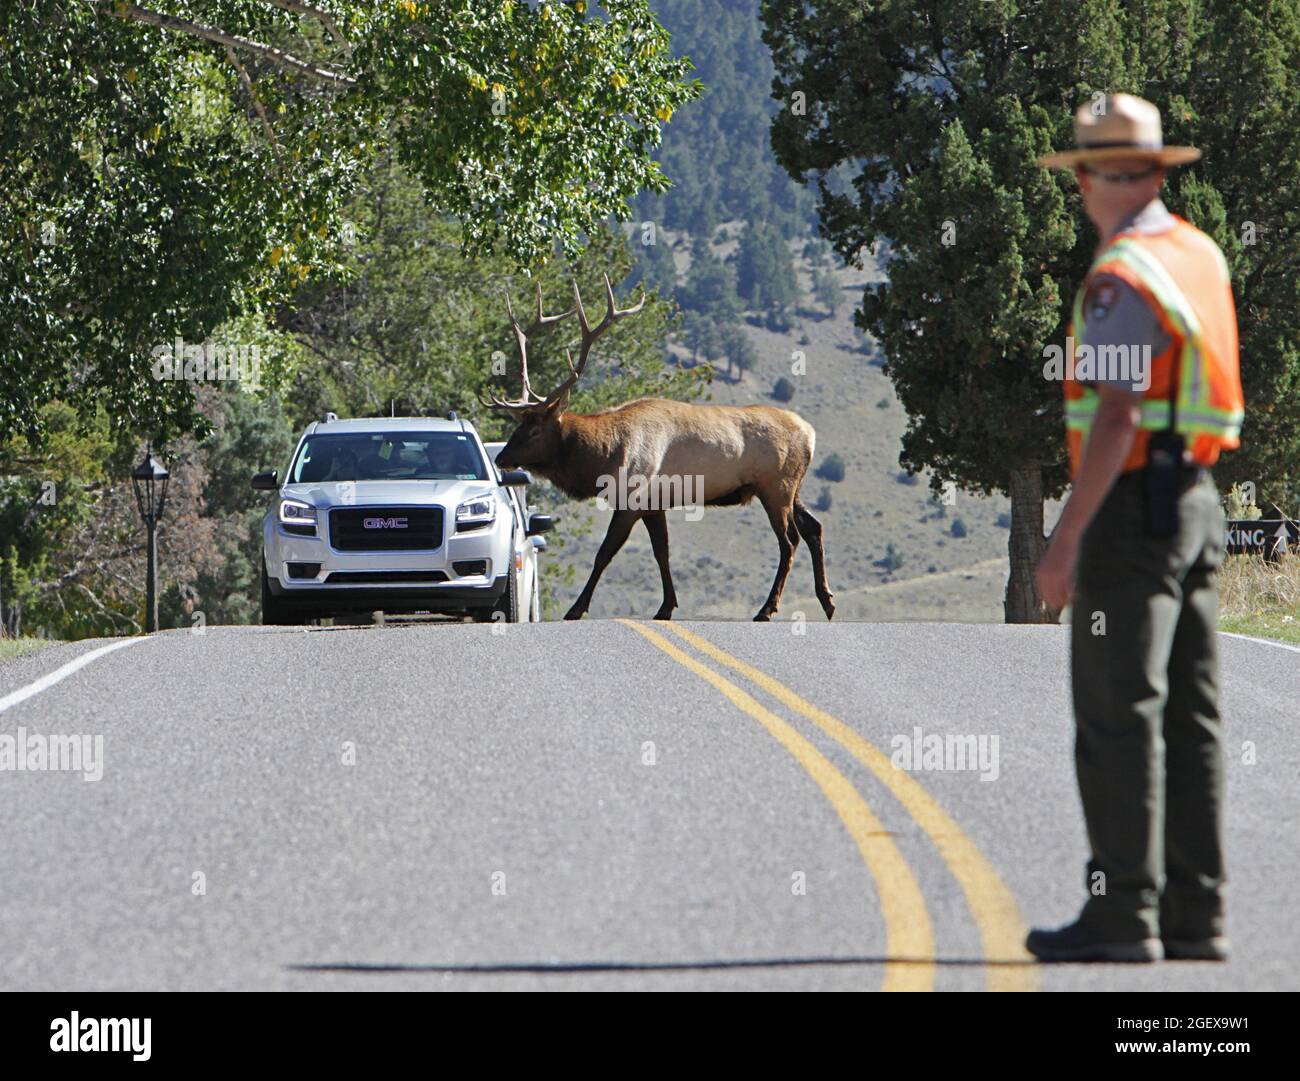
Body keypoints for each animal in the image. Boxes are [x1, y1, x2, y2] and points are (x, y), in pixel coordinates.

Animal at [483, 274, 837, 621]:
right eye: (517, 426)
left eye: (533, 430)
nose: (501, 457)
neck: (604, 457)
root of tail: (810, 434)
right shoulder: (655, 504)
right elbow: (661, 552)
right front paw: (666, 607)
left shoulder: (632, 498)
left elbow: (604, 553)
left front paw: (576, 608)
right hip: (792, 487)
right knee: (814, 528)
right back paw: (827, 601)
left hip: (775, 486)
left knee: (789, 541)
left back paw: (766, 609)